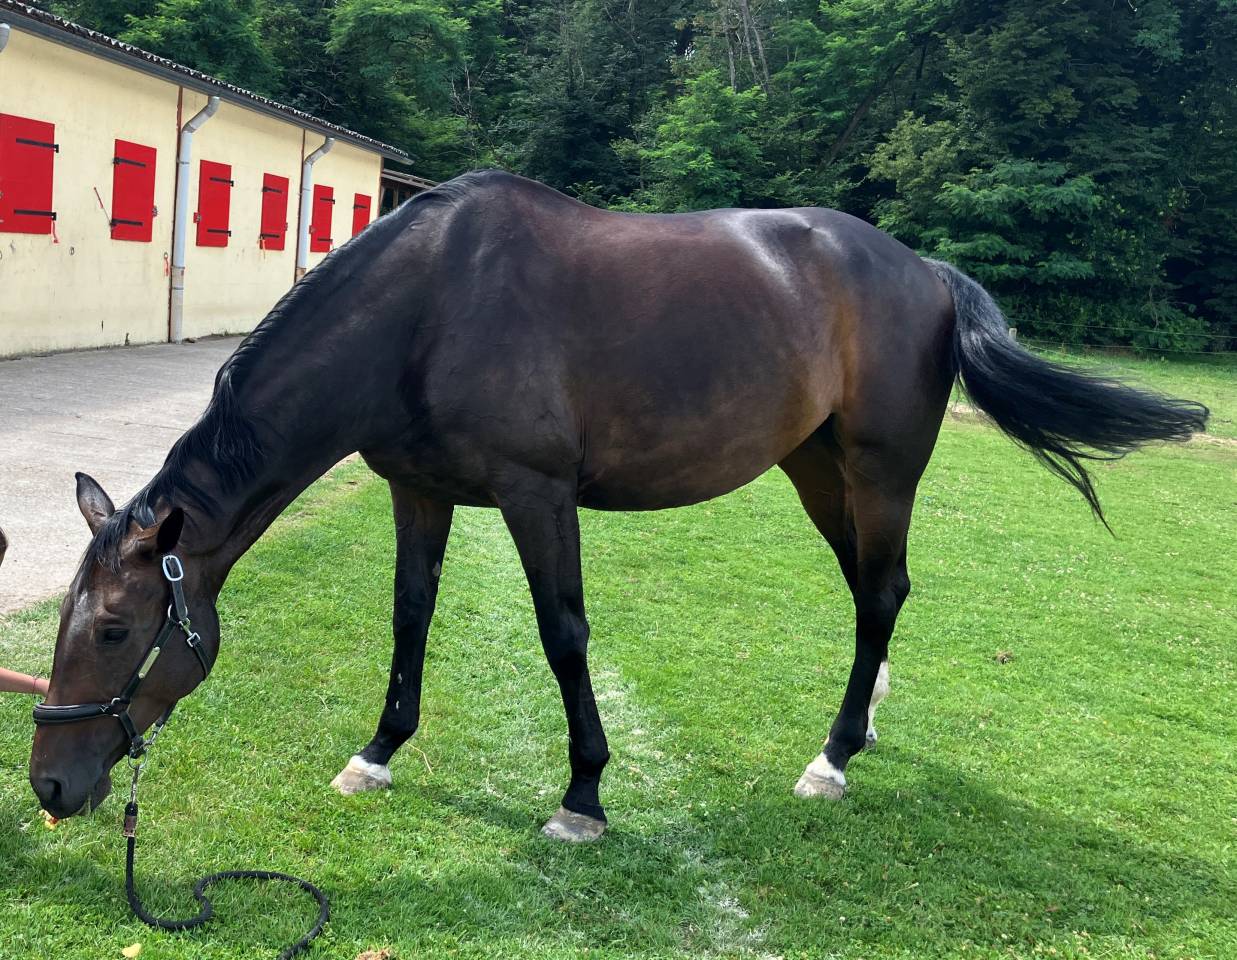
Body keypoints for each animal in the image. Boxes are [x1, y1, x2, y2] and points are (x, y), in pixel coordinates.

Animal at [30, 170, 1207, 841]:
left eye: (119, 629)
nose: (49, 786)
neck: (425, 309)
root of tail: (921, 268)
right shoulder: (420, 491)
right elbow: (409, 618)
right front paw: (378, 752)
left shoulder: (536, 493)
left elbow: (563, 634)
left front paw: (584, 794)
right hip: (817, 472)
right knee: (876, 593)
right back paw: (863, 724)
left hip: (878, 473)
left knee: (878, 595)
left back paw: (830, 759)